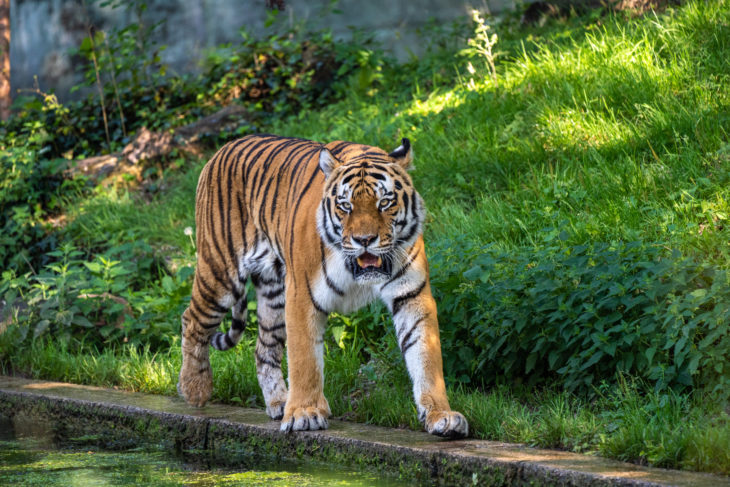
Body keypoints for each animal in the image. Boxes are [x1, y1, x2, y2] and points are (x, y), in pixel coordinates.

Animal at [177, 134, 468, 438]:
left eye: (385, 202)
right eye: (346, 205)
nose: (365, 240)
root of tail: (223, 149)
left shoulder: (411, 295)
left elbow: (426, 355)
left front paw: (441, 415)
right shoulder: (301, 296)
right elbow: (304, 359)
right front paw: (304, 413)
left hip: (273, 294)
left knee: (264, 349)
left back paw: (279, 403)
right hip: (221, 273)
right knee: (191, 319)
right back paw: (195, 388)